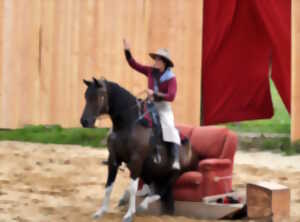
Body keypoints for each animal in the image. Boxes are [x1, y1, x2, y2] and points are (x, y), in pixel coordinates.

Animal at [80, 77, 199, 222]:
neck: (127, 126)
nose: (85, 121)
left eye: (99, 96)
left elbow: (133, 187)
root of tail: (194, 153)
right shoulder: (113, 160)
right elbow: (108, 186)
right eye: (86, 96)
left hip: (173, 175)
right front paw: (100, 212)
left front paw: (129, 214)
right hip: (149, 172)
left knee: (161, 192)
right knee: (152, 190)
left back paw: (143, 205)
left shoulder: (136, 162)